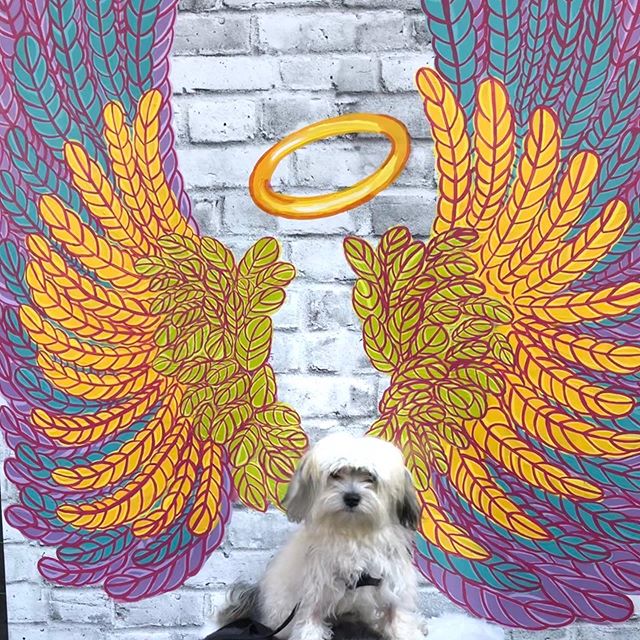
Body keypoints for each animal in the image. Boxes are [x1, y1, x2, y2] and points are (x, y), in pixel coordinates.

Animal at [218, 432, 428, 640]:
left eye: (370, 477)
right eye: (336, 474)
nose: (351, 498)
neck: (353, 534)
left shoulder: (394, 594)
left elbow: (400, 625)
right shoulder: (313, 601)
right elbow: (310, 628)